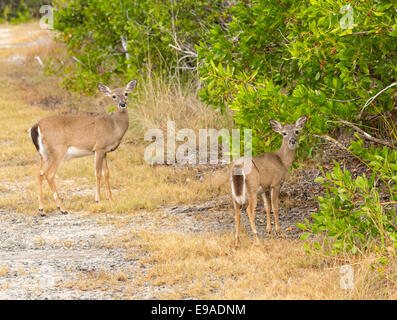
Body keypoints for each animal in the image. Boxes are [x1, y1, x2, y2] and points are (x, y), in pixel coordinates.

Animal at [27, 79, 136, 216]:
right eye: (114, 96)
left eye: (126, 93)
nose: (122, 104)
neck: (113, 126)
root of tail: (36, 126)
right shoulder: (99, 147)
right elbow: (97, 173)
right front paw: (98, 200)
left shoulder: (105, 151)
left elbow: (106, 173)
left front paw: (111, 199)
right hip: (58, 150)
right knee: (49, 174)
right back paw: (62, 208)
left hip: (44, 154)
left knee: (39, 173)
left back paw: (42, 209)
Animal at [229, 116, 306, 246]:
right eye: (284, 133)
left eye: (297, 131)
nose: (292, 141)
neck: (282, 161)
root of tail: (238, 166)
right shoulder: (276, 184)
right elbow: (275, 206)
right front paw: (279, 232)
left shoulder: (265, 188)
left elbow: (267, 207)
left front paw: (269, 231)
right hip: (252, 188)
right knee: (249, 209)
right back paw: (256, 239)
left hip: (234, 192)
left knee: (237, 212)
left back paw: (236, 241)